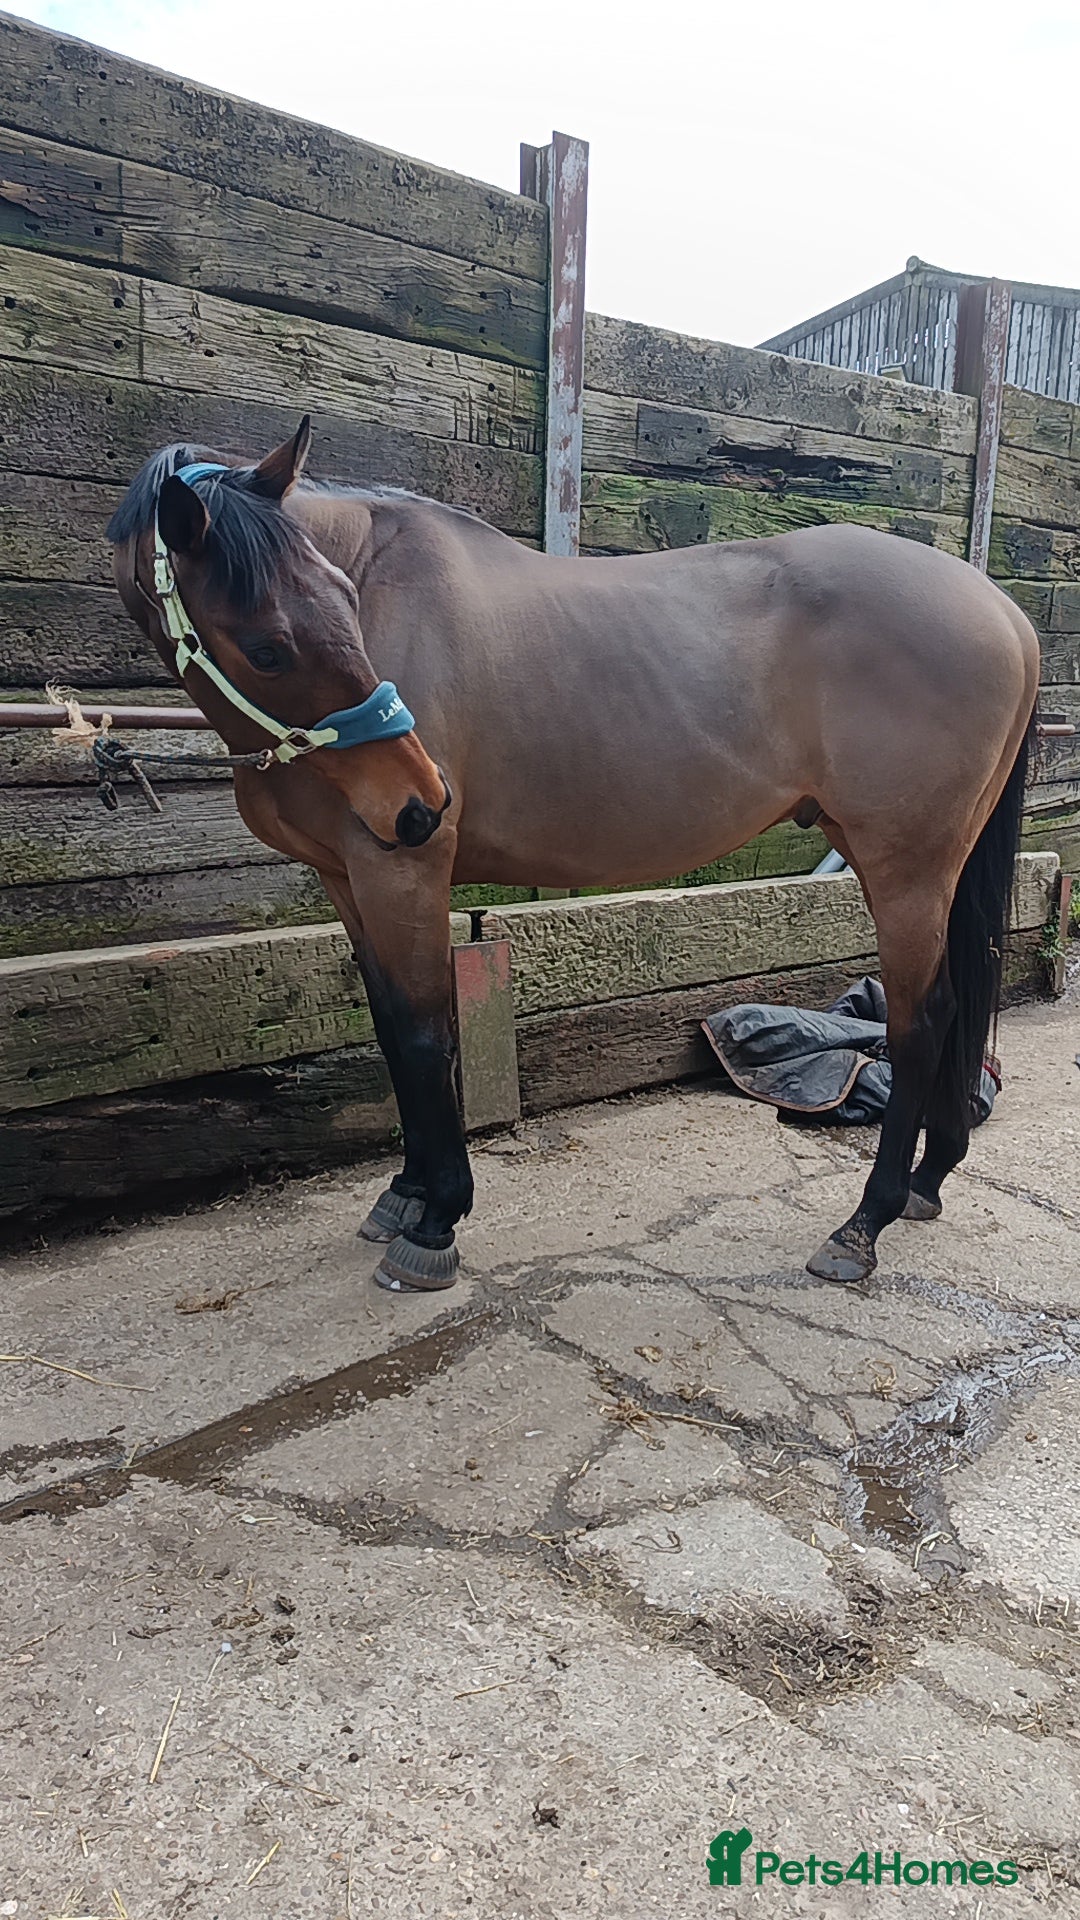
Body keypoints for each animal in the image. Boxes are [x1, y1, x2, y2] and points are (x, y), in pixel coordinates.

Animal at [108, 418, 1040, 1293]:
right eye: (267, 644)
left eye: (343, 599)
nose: (424, 801)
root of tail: (1005, 612)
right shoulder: (347, 878)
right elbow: (390, 1031)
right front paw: (405, 1193)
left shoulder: (400, 869)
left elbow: (425, 1037)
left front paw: (436, 1221)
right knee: (957, 1001)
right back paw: (926, 1180)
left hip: (906, 867)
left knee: (921, 1022)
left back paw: (862, 1226)